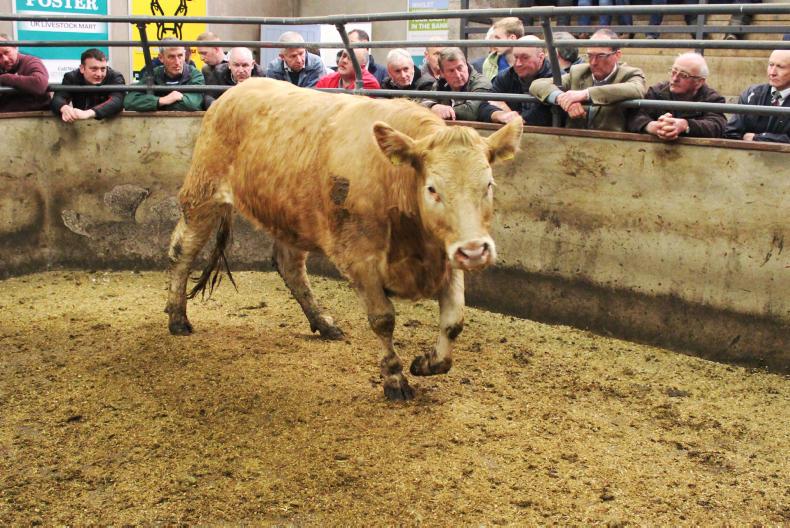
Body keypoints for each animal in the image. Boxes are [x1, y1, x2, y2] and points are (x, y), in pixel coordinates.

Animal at [165, 78, 522, 401]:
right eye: (432, 188)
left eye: (489, 184)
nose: (475, 252)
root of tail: (235, 90)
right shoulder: (359, 258)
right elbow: (383, 320)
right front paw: (394, 379)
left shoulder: (447, 254)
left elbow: (454, 321)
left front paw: (426, 363)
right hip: (203, 193)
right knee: (182, 251)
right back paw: (177, 317)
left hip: (291, 217)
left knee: (290, 267)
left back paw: (323, 323)